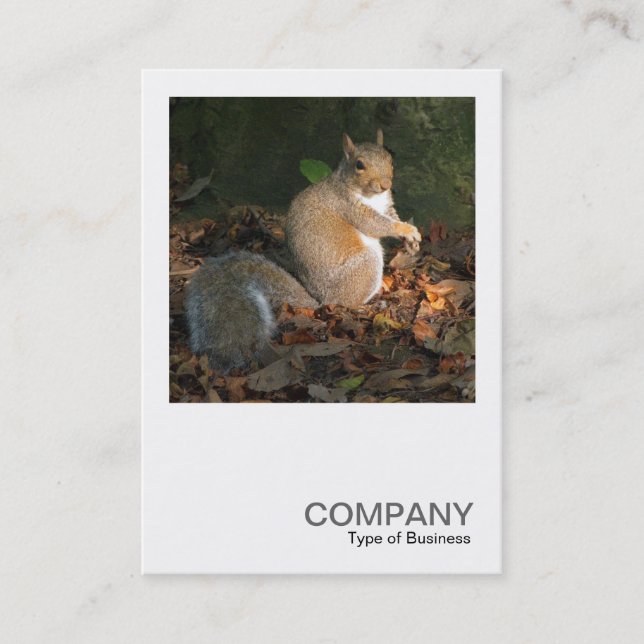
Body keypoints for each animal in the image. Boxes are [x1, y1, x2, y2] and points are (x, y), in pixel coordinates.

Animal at [185, 130, 421, 372]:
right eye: (359, 165)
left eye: (390, 158)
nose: (385, 184)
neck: (372, 196)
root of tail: (321, 300)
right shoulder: (349, 207)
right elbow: (376, 224)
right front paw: (405, 229)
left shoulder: (386, 205)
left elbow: (390, 216)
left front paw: (412, 240)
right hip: (364, 266)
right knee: (348, 302)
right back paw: (365, 304)